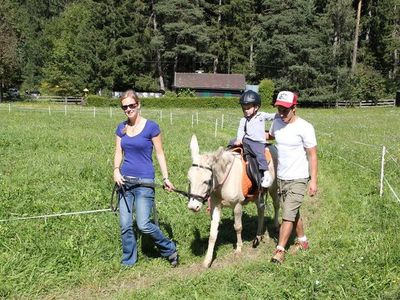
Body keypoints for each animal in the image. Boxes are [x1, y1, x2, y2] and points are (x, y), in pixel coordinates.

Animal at [188, 135, 278, 268]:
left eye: (206, 180)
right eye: (189, 179)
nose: (193, 207)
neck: (225, 180)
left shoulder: (237, 205)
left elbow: (238, 227)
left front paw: (239, 249)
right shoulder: (215, 206)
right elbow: (213, 234)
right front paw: (208, 260)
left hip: (274, 188)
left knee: (277, 205)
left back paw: (276, 226)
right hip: (258, 195)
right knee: (261, 210)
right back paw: (258, 236)